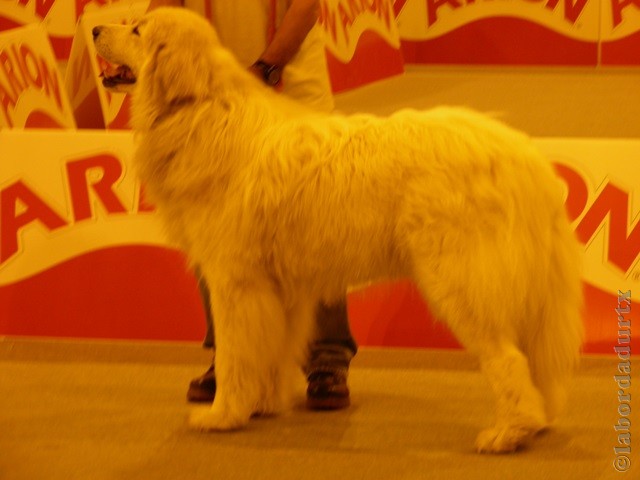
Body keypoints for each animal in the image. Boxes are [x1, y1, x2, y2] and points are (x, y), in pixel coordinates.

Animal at [94, 5, 584, 452]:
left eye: (137, 30)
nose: (95, 28)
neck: (198, 108)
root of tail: (524, 155)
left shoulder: (236, 283)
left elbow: (236, 355)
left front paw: (224, 414)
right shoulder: (277, 291)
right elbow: (268, 353)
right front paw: (261, 405)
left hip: (460, 281)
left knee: (507, 359)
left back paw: (509, 432)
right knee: (530, 361)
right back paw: (536, 421)